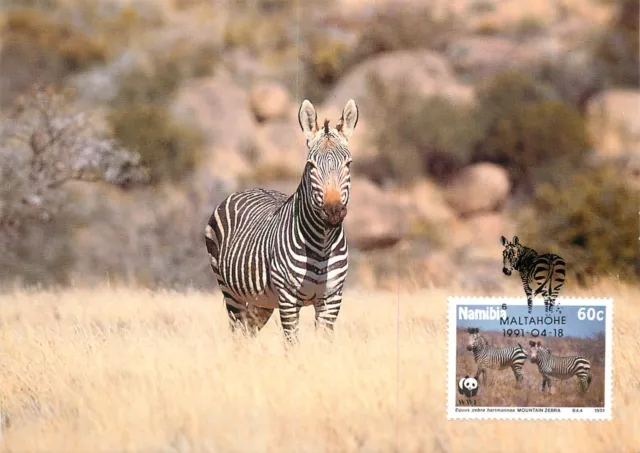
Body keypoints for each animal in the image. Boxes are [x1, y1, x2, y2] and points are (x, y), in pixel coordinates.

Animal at [204, 99, 358, 342]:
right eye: (310, 165)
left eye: (348, 164)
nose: (333, 211)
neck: (323, 244)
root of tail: (251, 188)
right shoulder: (288, 299)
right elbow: (292, 344)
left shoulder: (332, 299)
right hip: (230, 292)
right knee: (238, 334)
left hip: (261, 301)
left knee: (248, 333)